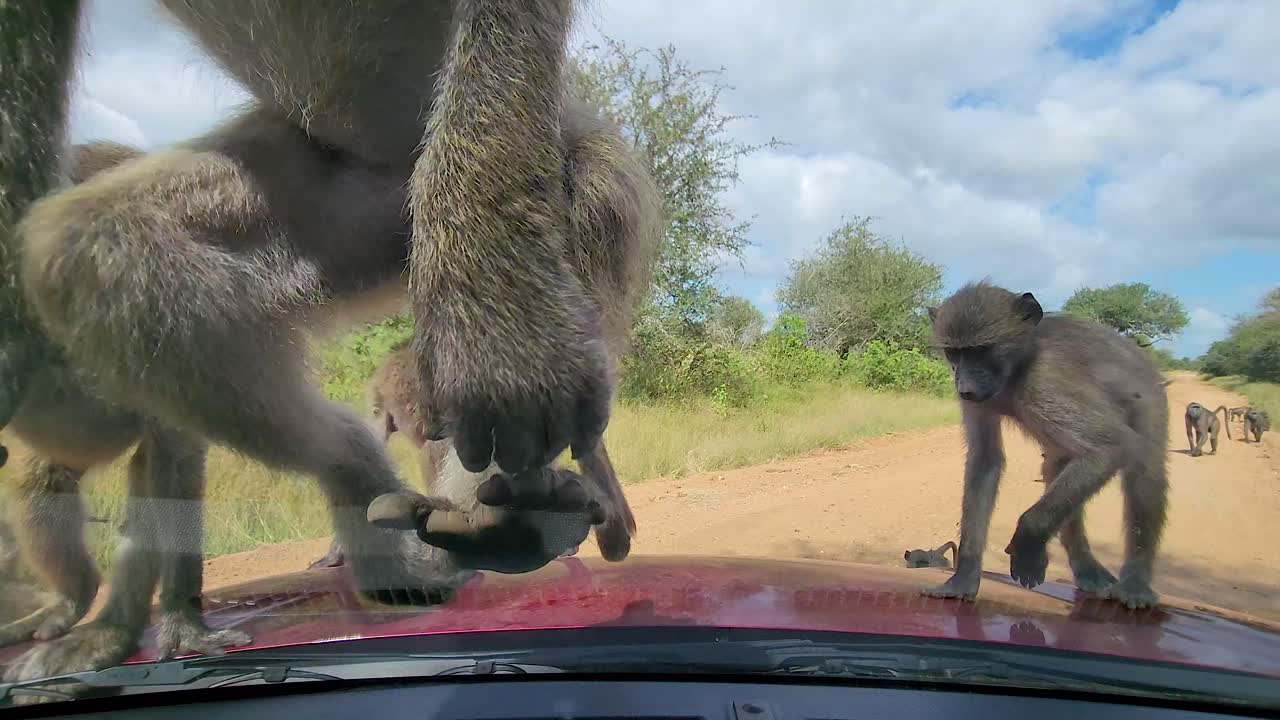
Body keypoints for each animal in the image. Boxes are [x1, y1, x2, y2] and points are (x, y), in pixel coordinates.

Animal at [924, 281, 1169, 609]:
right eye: (955, 353)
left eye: (981, 350)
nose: (965, 388)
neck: (1018, 368)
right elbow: (985, 461)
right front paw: (963, 578)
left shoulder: (1045, 383)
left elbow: (1111, 446)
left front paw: (1027, 546)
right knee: (1057, 468)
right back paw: (1086, 569)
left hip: (1150, 398)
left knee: (1145, 474)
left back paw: (1135, 585)